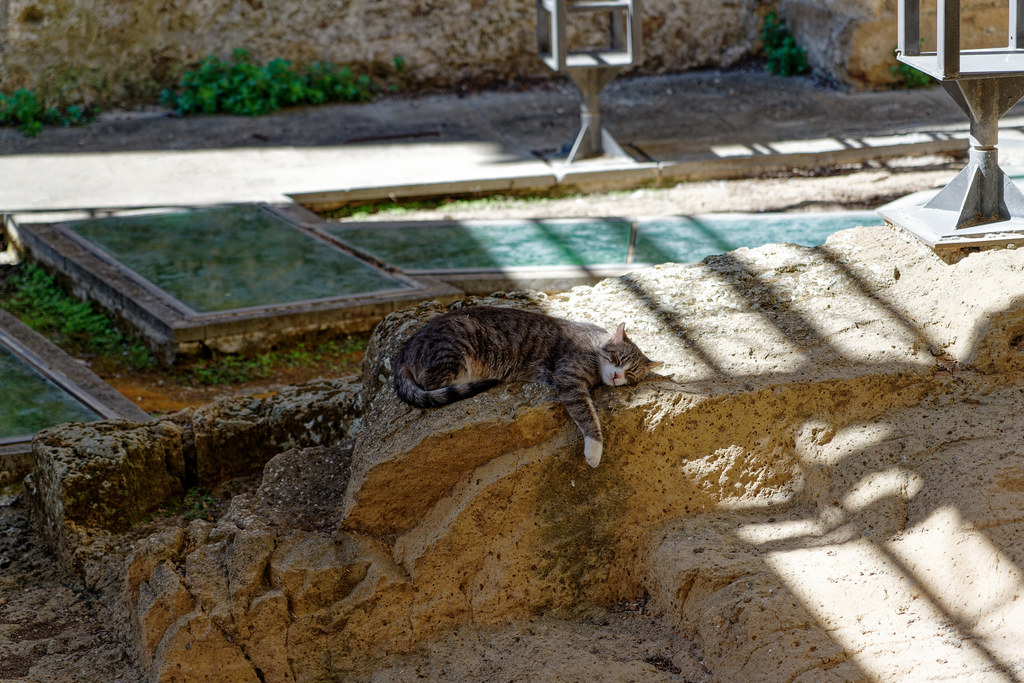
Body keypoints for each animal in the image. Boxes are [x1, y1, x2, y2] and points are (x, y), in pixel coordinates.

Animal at [391, 307, 663, 466]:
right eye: (618, 359)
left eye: (631, 373)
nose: (617, 376)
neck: (595, 348)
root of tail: (405, 349)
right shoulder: (569, 378)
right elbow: (588, 415)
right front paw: (594, 451)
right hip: (455, 351)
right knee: (433, 382)